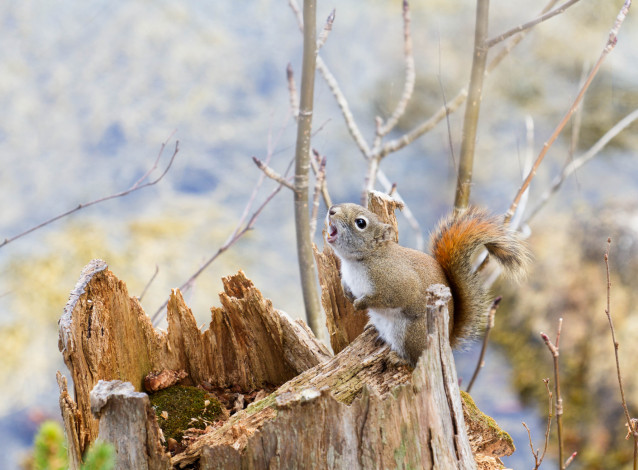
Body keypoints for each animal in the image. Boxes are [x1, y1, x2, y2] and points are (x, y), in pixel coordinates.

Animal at [328, 202, 532, 368]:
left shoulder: (396, 281)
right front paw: (348, 294)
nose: (331, 210)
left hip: (412, 333)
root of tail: (447, 340)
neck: (358, 260)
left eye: (360, 223)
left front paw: (360, 303)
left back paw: (399, 358)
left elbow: (388, 298)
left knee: (415, 359)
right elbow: (346, 285)